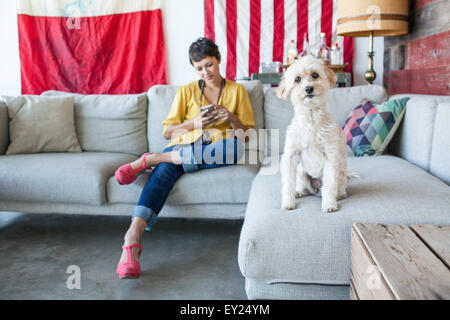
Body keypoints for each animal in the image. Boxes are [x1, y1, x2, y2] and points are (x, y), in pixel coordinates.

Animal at [278, 55, 352, 212]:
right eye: (297, 79)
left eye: (315, 75)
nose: (309, 88)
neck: (310, 118)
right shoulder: (290, 155)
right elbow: (288, 183)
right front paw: (288, 202)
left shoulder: (331, 156)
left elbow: (329, 185)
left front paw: (329, 204)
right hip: (301, 171)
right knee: (304, 189)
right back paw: (299, 192)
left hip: (340, 176)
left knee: (335, 189)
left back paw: (337, 196)